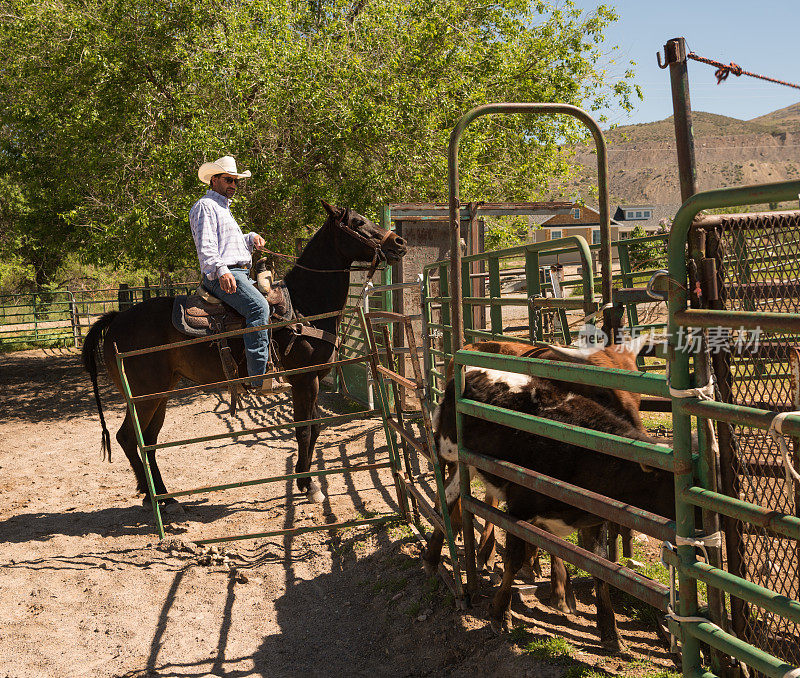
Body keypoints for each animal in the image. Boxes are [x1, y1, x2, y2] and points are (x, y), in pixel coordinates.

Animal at [83, 205, 406, 512]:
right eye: (357, 222)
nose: (399, 242)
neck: (303, 306)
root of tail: (116, 320)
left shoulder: (312, 379)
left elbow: (314, 429)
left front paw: (304, 480)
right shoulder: (303, 381)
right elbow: (303, 430)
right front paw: (309, 485)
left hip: (160, 393)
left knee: (148, 440)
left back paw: (165, 497)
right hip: (146, 395)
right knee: (128, 438)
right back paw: (153, 498)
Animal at [424, 366, 676, 652]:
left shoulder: (593, 520)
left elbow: (600, 569)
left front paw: (610, 631)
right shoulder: (519, 509)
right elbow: (512, 561)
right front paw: (500, 613)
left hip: (465, 465)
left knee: (450, 495)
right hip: (447, 449)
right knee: (444, 496)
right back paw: (432, 558)